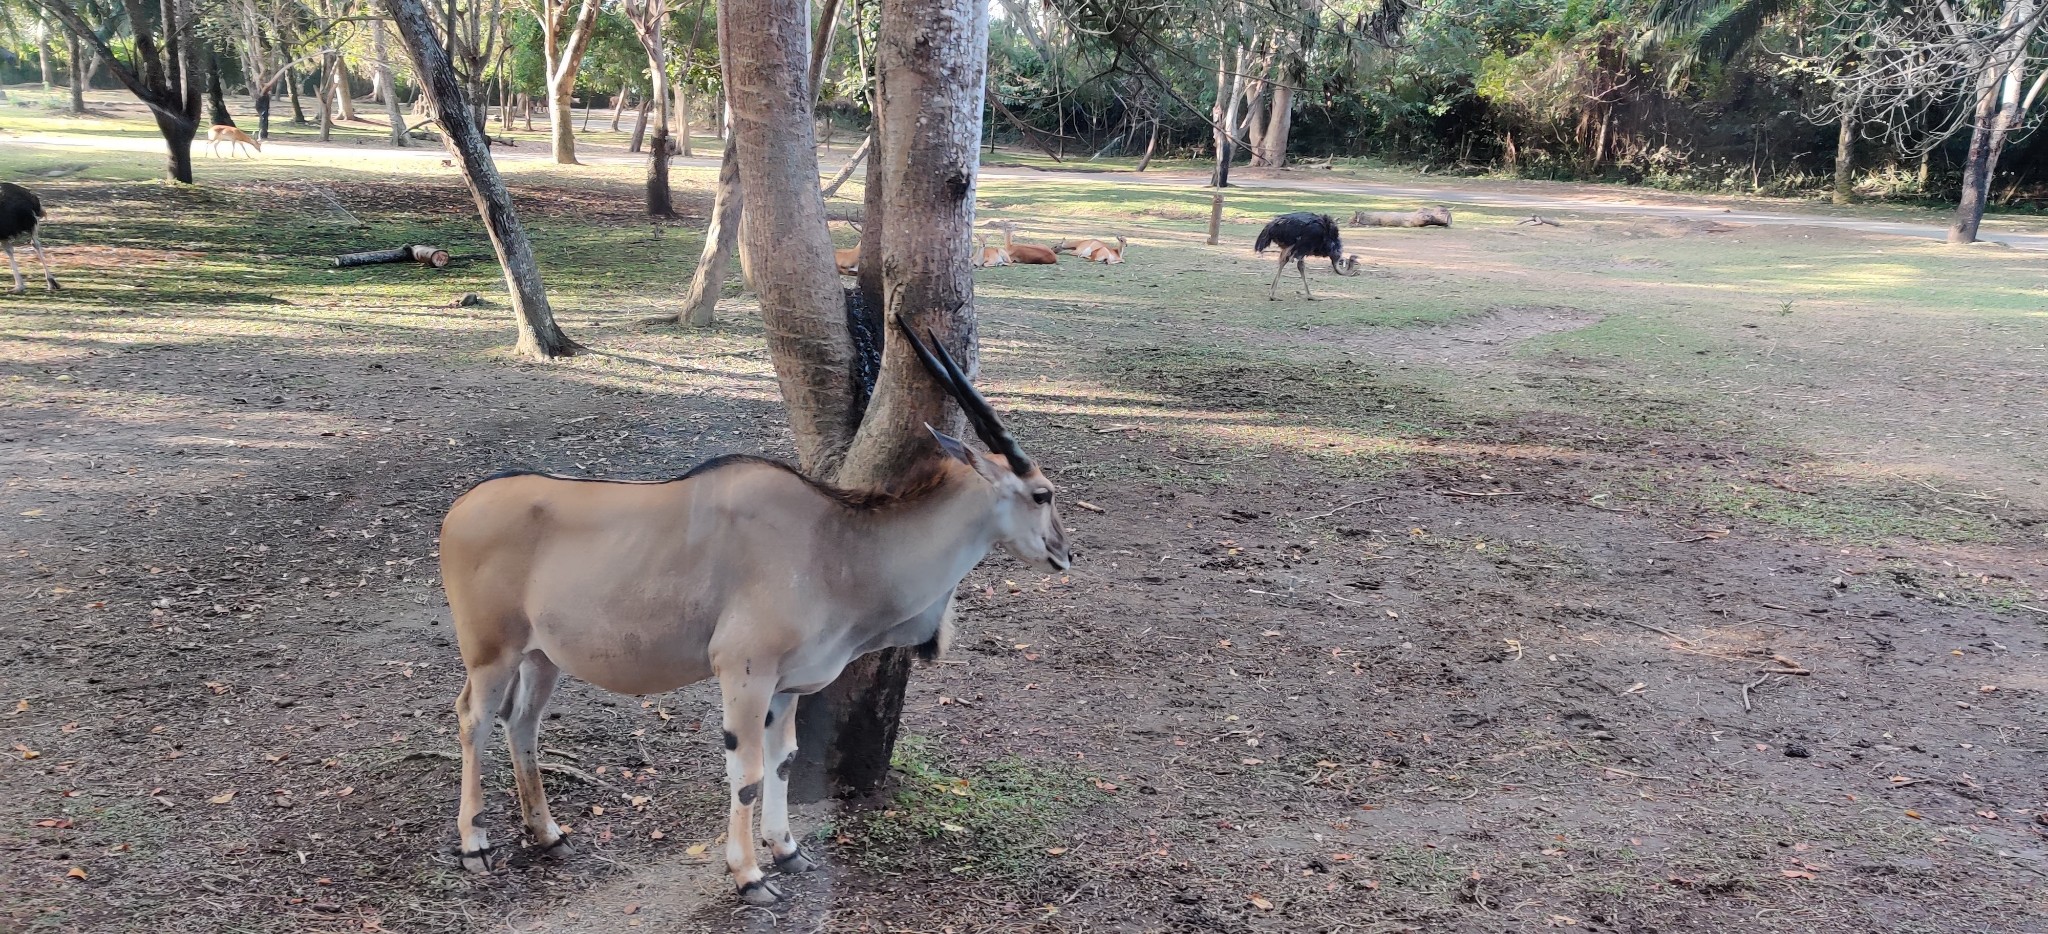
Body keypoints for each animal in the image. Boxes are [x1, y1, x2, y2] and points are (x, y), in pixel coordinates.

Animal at [434, 323, 1073, 905]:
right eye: (1041, 494)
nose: (1065, 553)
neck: (833, 543)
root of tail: (462, 506)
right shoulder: (744, 673)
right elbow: (745, 774)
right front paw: (749, 875)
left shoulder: (785, 686)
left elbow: (783, 761)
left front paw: (787, 850)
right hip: (491, 654)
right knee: (474, 718)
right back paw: (474, 845)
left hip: (541, 657)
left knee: (522, 722)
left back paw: (548, 834)